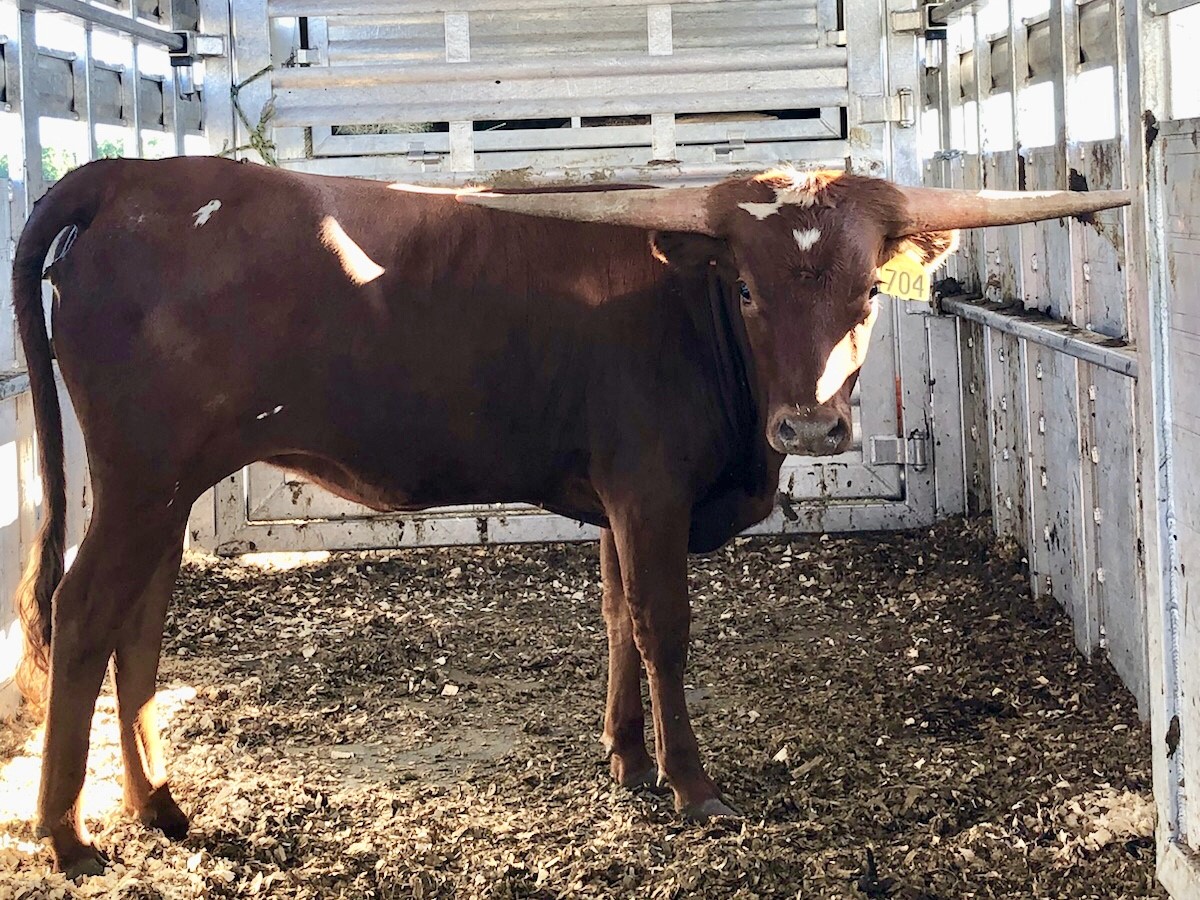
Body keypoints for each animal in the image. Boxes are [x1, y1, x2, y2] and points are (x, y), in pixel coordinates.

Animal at [9, 156, 1127, 875]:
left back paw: (160, 805)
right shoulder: (650, 489)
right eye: (749, 290)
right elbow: (664, 626)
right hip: (142, 478)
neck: (684, 307)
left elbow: (618, 616)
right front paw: (689, 783)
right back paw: (70, 835)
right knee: (83, 613)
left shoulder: (618, 505)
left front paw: (626, 758)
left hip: (162, 487)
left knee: (141, 623)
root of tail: (133, 176)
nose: (810, 425)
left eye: (864, 294)